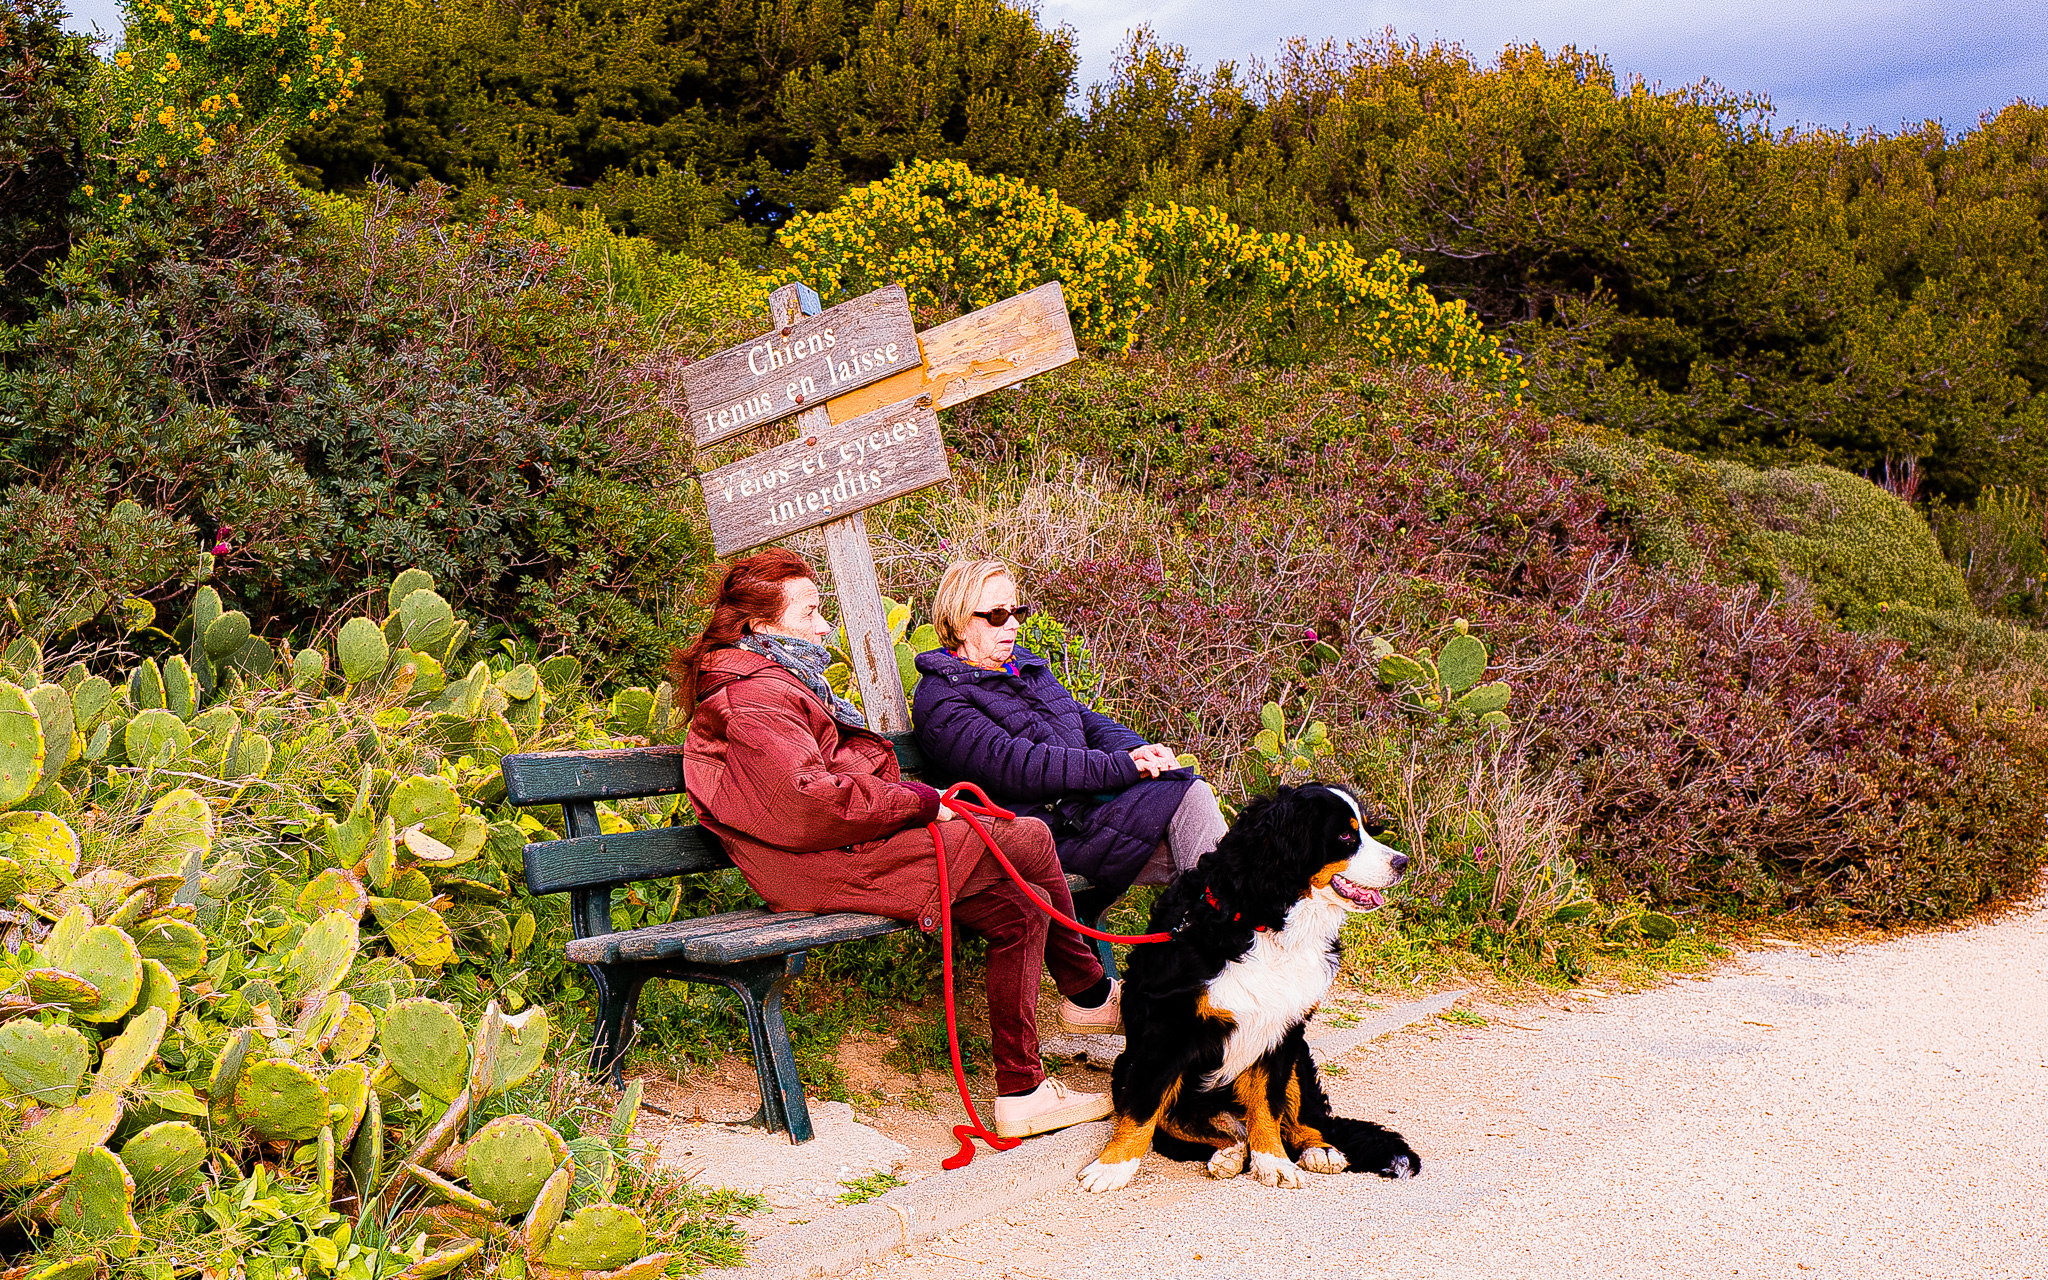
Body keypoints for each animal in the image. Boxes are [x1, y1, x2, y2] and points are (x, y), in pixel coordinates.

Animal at [1073, 782, 1425, 1196]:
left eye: (1367, 828)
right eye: (1344, 836)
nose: (1402, 862)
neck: (1261, 922)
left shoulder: (1282, 1029)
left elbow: (1268, 1105)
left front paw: (1272, 1161)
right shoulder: (1167, 1030)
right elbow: (1144, 1107)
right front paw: (1112, 1167)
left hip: (1299, 1059)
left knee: (1300, 1119)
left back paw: (1317, 1149)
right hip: (1130, 1066)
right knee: (1181, 1123)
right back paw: (1229, 1152)